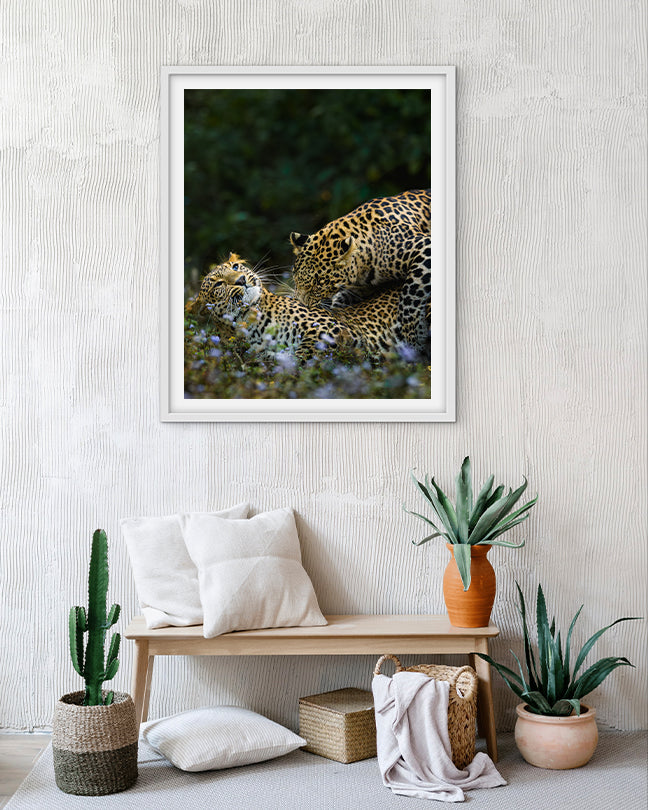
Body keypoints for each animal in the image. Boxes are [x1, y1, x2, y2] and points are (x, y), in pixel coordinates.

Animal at [186, 253, 415, 361]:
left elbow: (305, 352)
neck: (252, 321)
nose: (241, 279)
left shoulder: (332, 328)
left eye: (235, 266)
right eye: (218, 284)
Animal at [289, 189, 431, 353]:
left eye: (320, 283)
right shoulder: (358, 289)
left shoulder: (425, 248)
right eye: (295, 279)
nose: (301, 305)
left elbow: (410, 294)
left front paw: (412, 335)